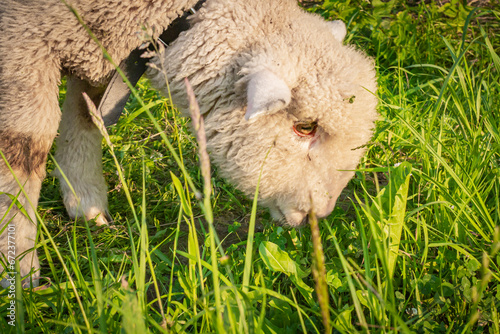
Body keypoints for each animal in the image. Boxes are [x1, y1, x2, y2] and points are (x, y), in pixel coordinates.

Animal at [0, 0, 376, 288]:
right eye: (304, 127)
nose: (319, 214)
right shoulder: (22, 45)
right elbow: (23, 150)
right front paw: (18, 269)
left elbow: (85, 114)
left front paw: (85, 202)